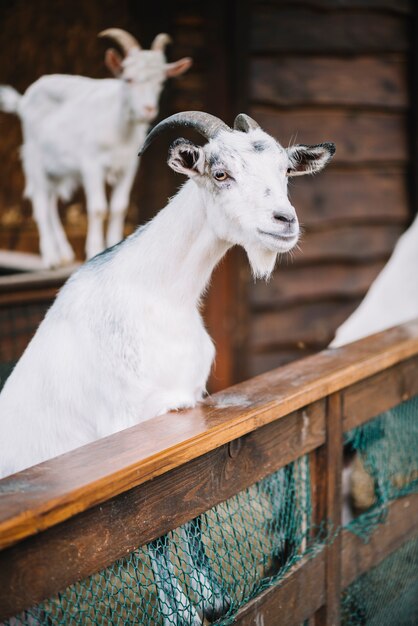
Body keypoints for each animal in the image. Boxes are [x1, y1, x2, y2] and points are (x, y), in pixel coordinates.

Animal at [0, 28, 192, 266]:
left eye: (161, 83)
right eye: (128, 79)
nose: (148, 109)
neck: (120, 129)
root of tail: (23, 101)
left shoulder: (129, 166)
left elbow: (119, 207)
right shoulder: (91, 163)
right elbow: (99, 208)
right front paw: (94, 250)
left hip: (55, 170)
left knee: (51, 202)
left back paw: (63, 254)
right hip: (34, 158)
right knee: (41, 204)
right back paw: (51, 256)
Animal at [0, 109, 334, 620]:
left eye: (284, 171)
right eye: (220, 173)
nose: (284, 221)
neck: (158, 295)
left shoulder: (187, 407)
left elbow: (188, 507)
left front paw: (213, 597)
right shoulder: (127, 427)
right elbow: (152, 524)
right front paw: (182, 612)